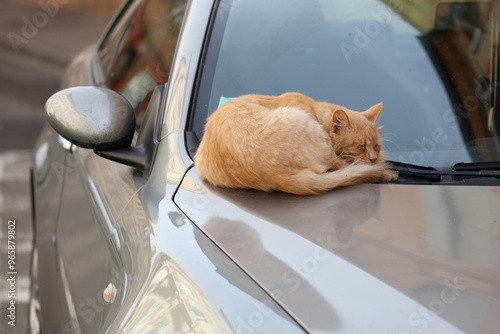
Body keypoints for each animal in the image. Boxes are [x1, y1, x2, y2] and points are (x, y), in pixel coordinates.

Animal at [195, 92, 398, 196]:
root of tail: (279, 177)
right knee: (345, 167)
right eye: (361, 146)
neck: (314, 109)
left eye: (377, 146)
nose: (373, 158)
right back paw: (387, 173)